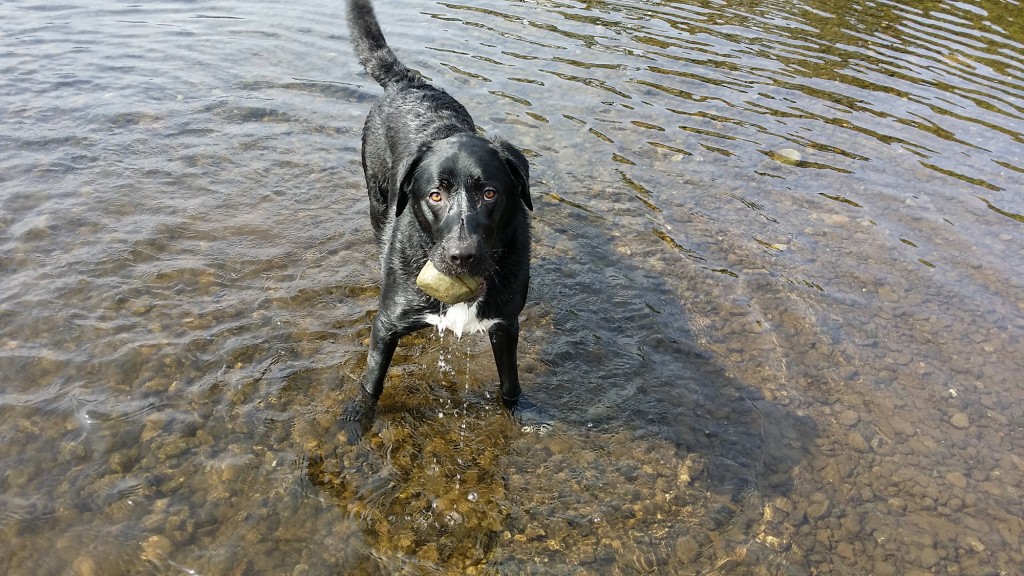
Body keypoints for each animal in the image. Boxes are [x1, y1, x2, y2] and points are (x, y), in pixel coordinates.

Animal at [344, 0, 536, 434]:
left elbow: (510, 384)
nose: (461, 257)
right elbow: (371, 383)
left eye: (489, 193)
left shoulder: (506, 324)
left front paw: (524, 416)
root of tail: (407, 82)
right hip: (376, 199)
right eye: (435, 195)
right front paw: (356, 420)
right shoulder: (387, 323)